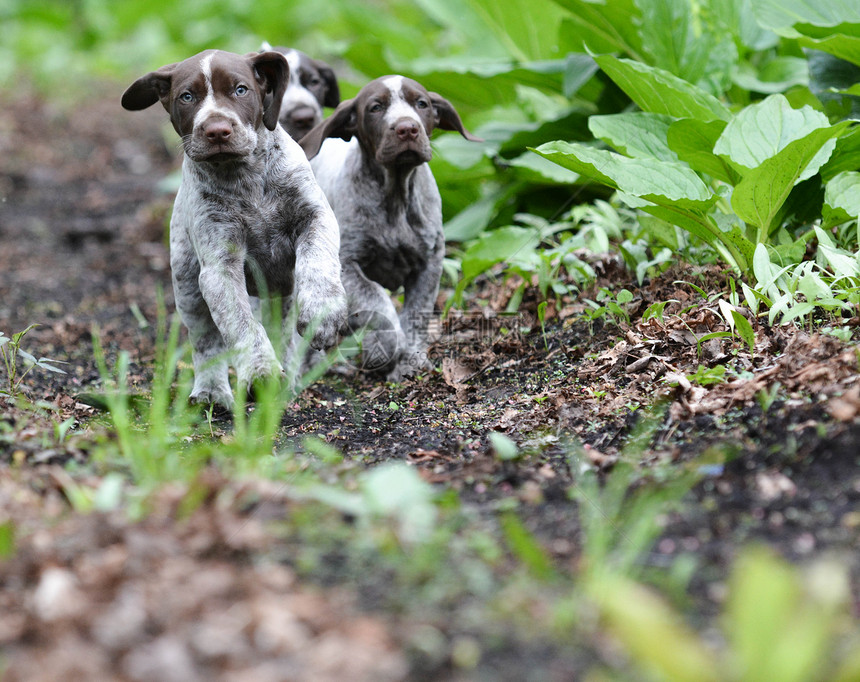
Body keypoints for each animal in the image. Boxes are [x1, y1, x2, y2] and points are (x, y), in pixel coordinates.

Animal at [122, 51, 350, 410]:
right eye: (187, 97)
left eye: (240, 90)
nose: (217, 130)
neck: (244, 175)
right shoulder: (219, 268)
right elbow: (241, 326)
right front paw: (260, 372)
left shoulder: (316, 217)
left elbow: (318, 261)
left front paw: (323, 313)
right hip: (187, 286)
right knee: (206, 342)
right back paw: (212, 390)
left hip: (281, 296)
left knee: (284, 334)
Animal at [298, 78, 480, 382]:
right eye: (375, 108)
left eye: (422, 104)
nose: (407, 128)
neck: (395, 193)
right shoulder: (347, 266)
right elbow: (377, 301)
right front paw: (385, 349)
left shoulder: (430, 262)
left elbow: (416, 313)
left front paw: (410, 359)